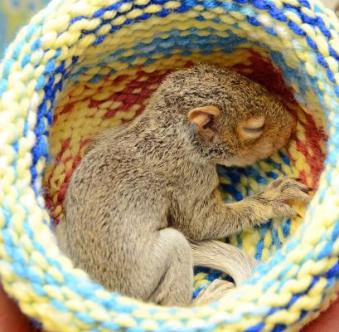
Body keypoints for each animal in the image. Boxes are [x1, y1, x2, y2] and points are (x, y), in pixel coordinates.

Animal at [56, 64, 310, 306]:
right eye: (254, 128)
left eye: (250, 80)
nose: (292, 124)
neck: (170, 131)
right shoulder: (191, 179)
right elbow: (201, 224)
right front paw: (270, 199)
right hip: (165, 256)